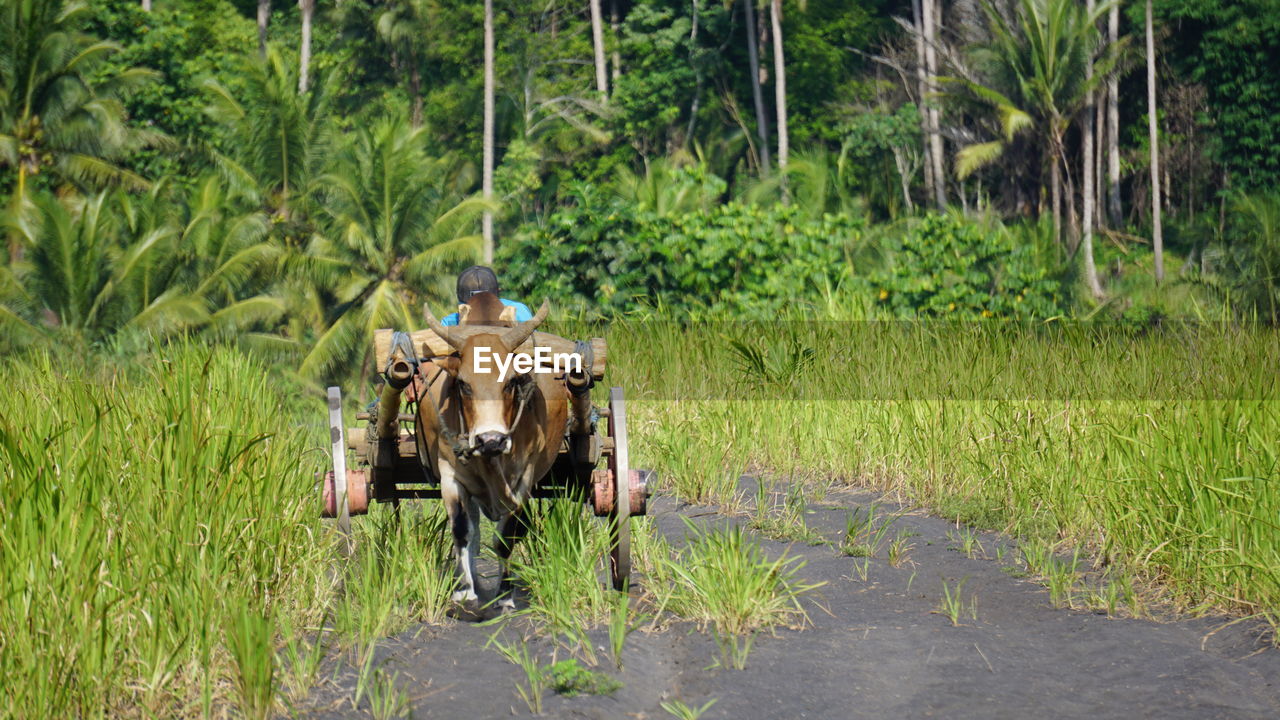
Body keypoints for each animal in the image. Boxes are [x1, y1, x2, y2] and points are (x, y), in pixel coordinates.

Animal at [417, 288, 568, 607]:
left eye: (510, 382)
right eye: (463, 384)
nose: (491, 440)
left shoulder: (525, 477)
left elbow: (506, 538)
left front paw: (505, 593)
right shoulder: (450, 473)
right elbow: (462, 530)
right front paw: (464, 590)